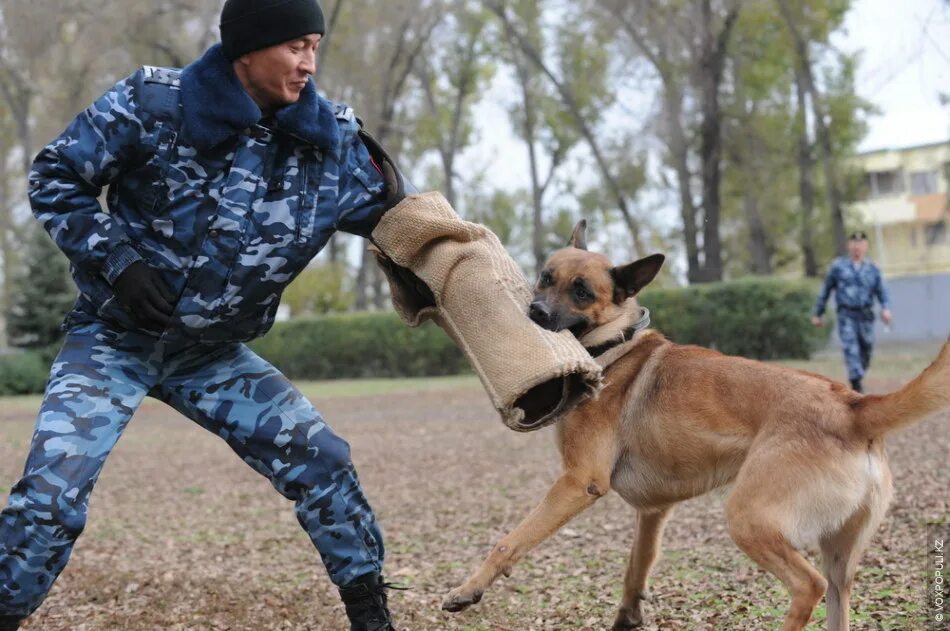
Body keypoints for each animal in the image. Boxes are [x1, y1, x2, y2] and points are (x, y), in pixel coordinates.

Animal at [444, 220, 950, 628]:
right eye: (546, 278)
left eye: (583, 292)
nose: (537, 313)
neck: (615, 346)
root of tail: (852, 405)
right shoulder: (653, 513)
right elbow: (635, 568)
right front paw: (627, 618)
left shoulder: (577, 483)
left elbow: (510, 541)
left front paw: (468, 589)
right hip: (840, 559)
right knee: (834, 594)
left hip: (749, 519)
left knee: (807, 587)